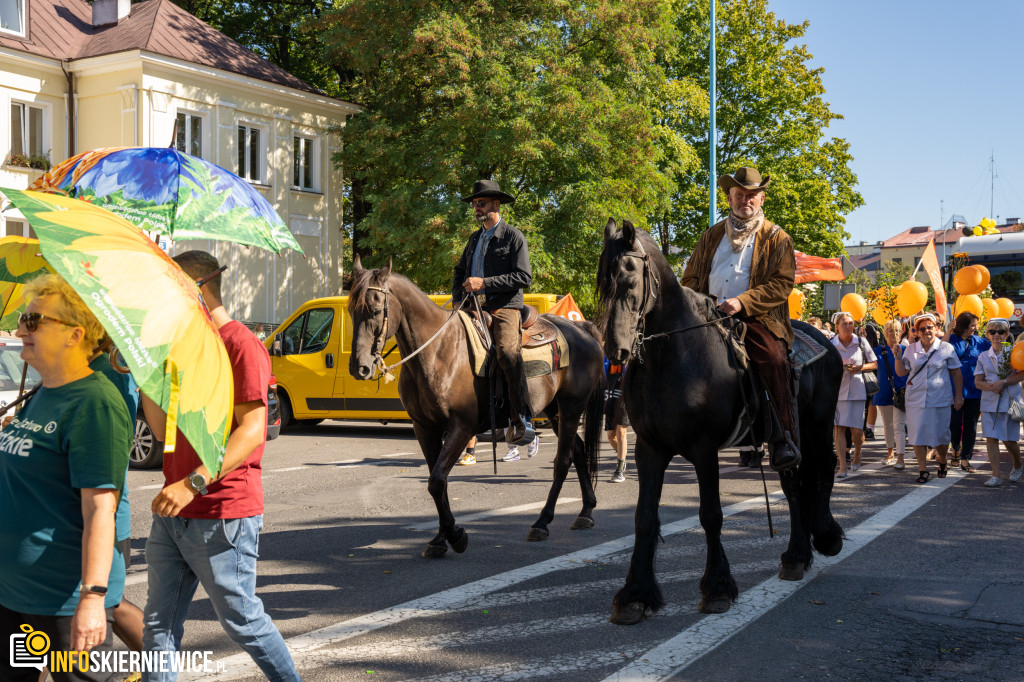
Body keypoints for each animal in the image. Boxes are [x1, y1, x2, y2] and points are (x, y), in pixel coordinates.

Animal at [348, 258, 602, 557]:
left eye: (376, 310)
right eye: (351, 310)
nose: (360, 368)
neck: (437, 351)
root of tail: (583, 329)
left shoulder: (461, 426)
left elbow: (437, 480)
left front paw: (455, 536)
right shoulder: (424, 428)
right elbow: (437, 482)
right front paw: (440, 539)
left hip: (572, 406)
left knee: (563, 460)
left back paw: (542, 522)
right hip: (554, 410)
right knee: (578, 450)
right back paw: (585, 512)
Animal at [598, 218, 843, 622]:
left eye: (630, 278)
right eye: (602, 280)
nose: (615, 349)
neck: (673, 356)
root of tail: (823, 338)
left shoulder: (704, 448)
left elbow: (710, 513)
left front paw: (717, 588)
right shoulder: (649, 448)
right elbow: (644, 517)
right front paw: (635, 594)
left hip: (817, 425)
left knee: (824, 468)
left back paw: (826, 535)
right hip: (786, 437)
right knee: (793, 483)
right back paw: (795, 556)